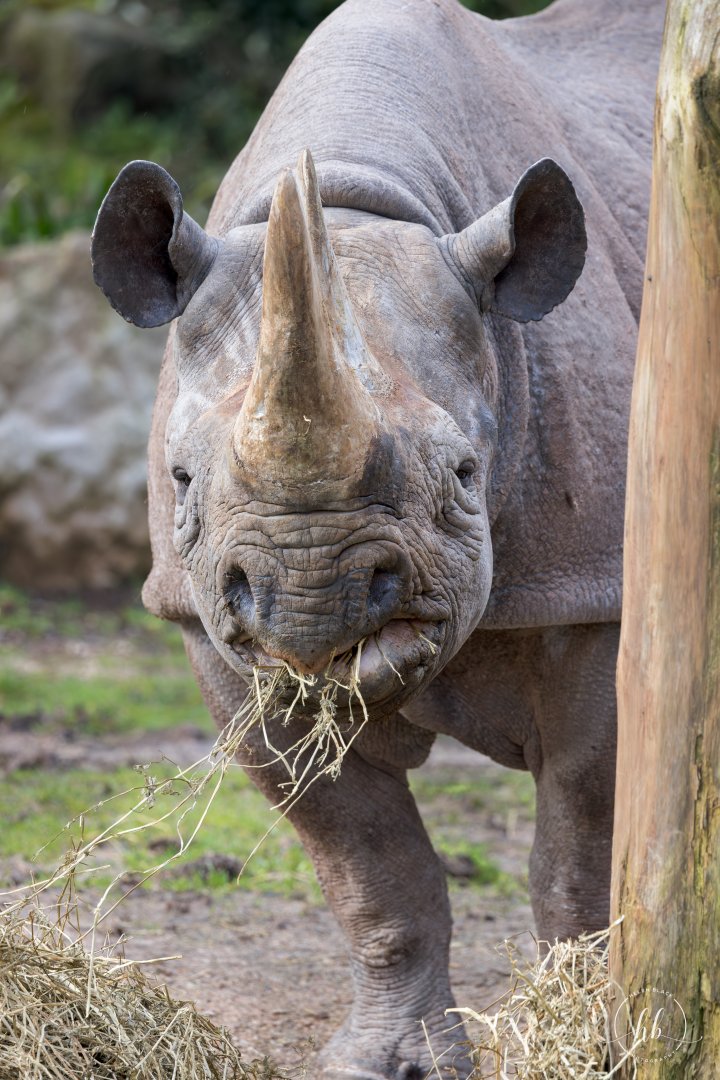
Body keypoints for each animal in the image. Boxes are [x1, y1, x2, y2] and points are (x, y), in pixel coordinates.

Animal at [91, 0, 664, 1075]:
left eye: (466, 477)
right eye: (182, 481)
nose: (313, 596)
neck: (362, 197)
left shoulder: (591, 588)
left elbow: (579, 842)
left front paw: (583, 1027)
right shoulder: (208, 631)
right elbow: (371, 868)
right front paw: (389, 1060)